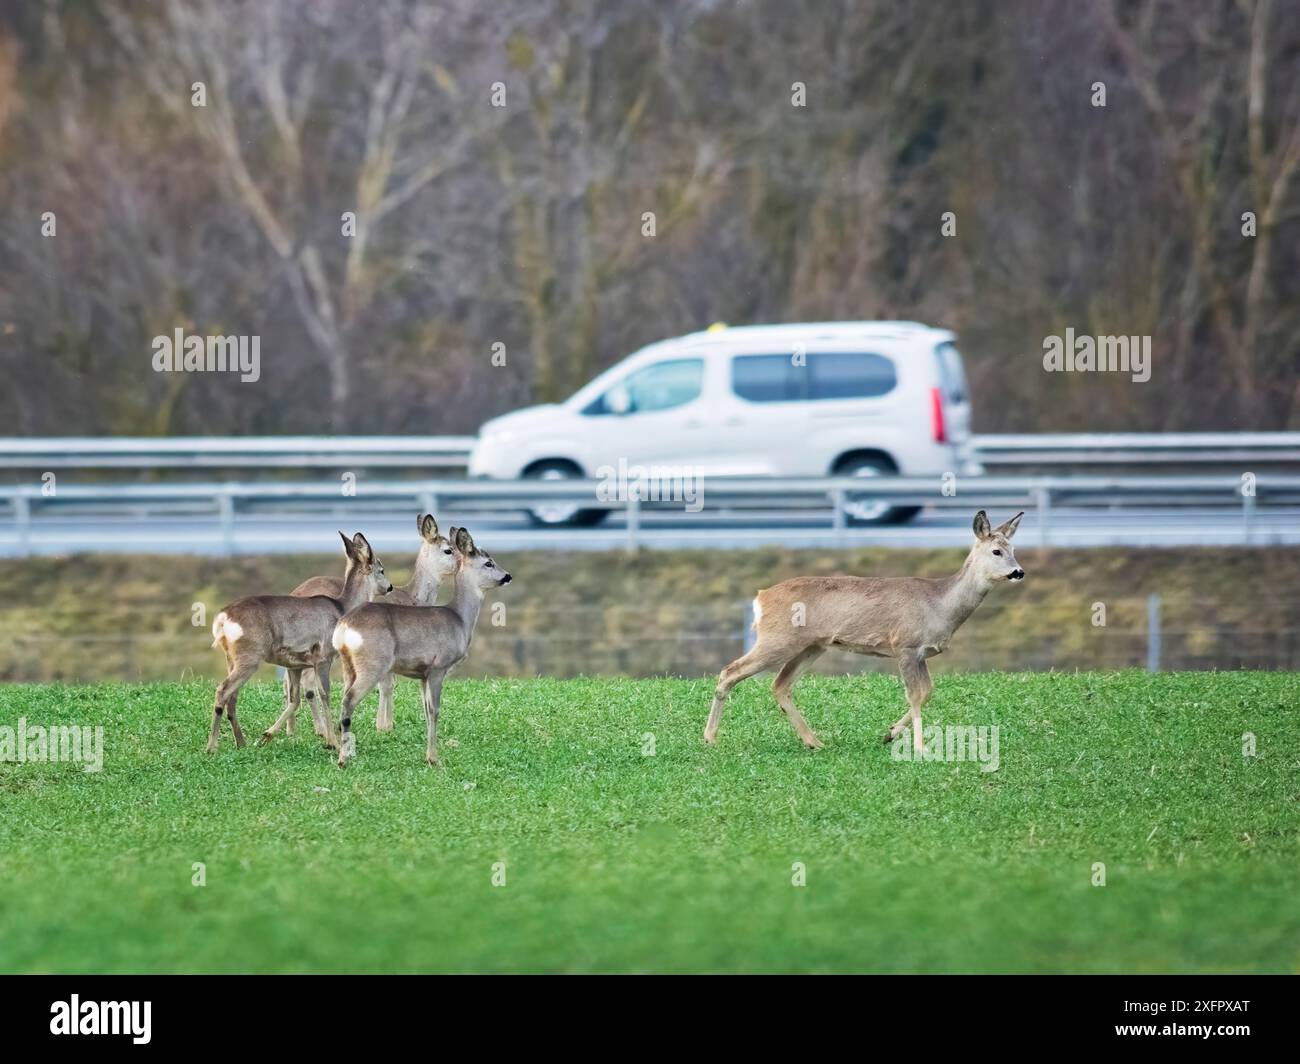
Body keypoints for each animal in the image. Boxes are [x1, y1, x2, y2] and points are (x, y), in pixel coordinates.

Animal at [205, 535, 390, 749]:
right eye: (381, 569)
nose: (390, 587)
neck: (341, 609)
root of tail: (222, 618)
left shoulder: (295, 665)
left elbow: (294, 700)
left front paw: (266, 735)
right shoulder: (323, 657)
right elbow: (325, 694)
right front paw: (332, 742)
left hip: (231, 657)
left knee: (232, 696)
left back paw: (241, 742)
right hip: (250, 655)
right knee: (223, 690)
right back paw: (211, 746)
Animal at [284, 515, 457, 738]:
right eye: (448, 550)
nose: (462, 562)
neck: (413, 598)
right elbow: (387, 684)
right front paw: (384, 726)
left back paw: (291, 730)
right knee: (307, 682)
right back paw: (321, 729)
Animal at [332, 525, 509, 764]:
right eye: (489, 563)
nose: (507, 576)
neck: (459, 619)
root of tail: (344, 626)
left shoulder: (423, 674)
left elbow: (425, 710)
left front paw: (430, 753)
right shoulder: (438, 667)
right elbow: (435, 710)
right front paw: (433, 758)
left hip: (348, 664)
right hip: (373, 663)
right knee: (348, 701)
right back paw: (343, 759)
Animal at [707, 509, 1019, 749]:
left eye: (1014, 550)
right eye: (996, 551)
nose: (1019, 572)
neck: (940, 604)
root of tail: (760, 598)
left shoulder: (921, 653)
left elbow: (928, 692)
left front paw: (890, 734)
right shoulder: (904, 645)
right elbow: (915, 695)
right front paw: (919, 747)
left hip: (812, 646)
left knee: (781, 685)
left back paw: (814, 742)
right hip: (777, 638)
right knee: (730, 671)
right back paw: (710, 738)